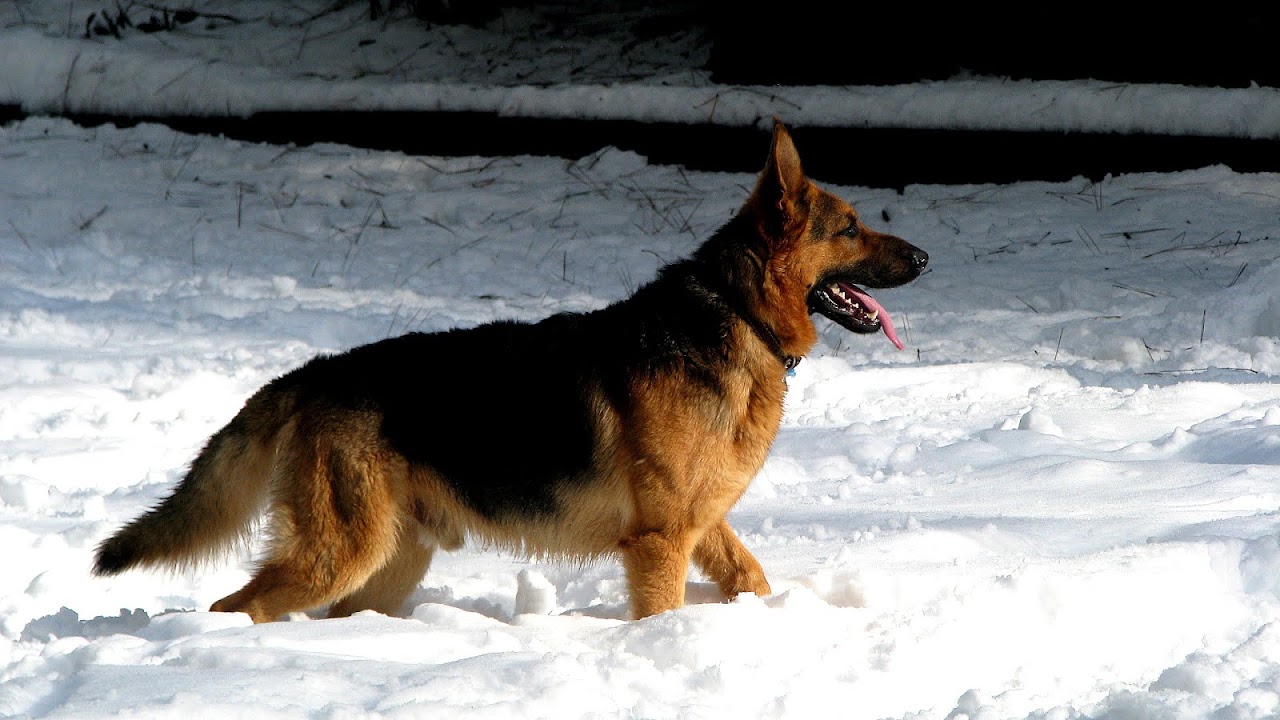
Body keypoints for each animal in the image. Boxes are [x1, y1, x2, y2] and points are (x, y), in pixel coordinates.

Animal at [94, 120, 926, 620]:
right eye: (851, 228)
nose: (923, 258)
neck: (734, 313)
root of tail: (308, 375)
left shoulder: (700, 524)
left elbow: (750, 576)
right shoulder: (659, 541)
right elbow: (665, 610)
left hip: (388, 564)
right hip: (339, 555)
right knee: (237, 606)